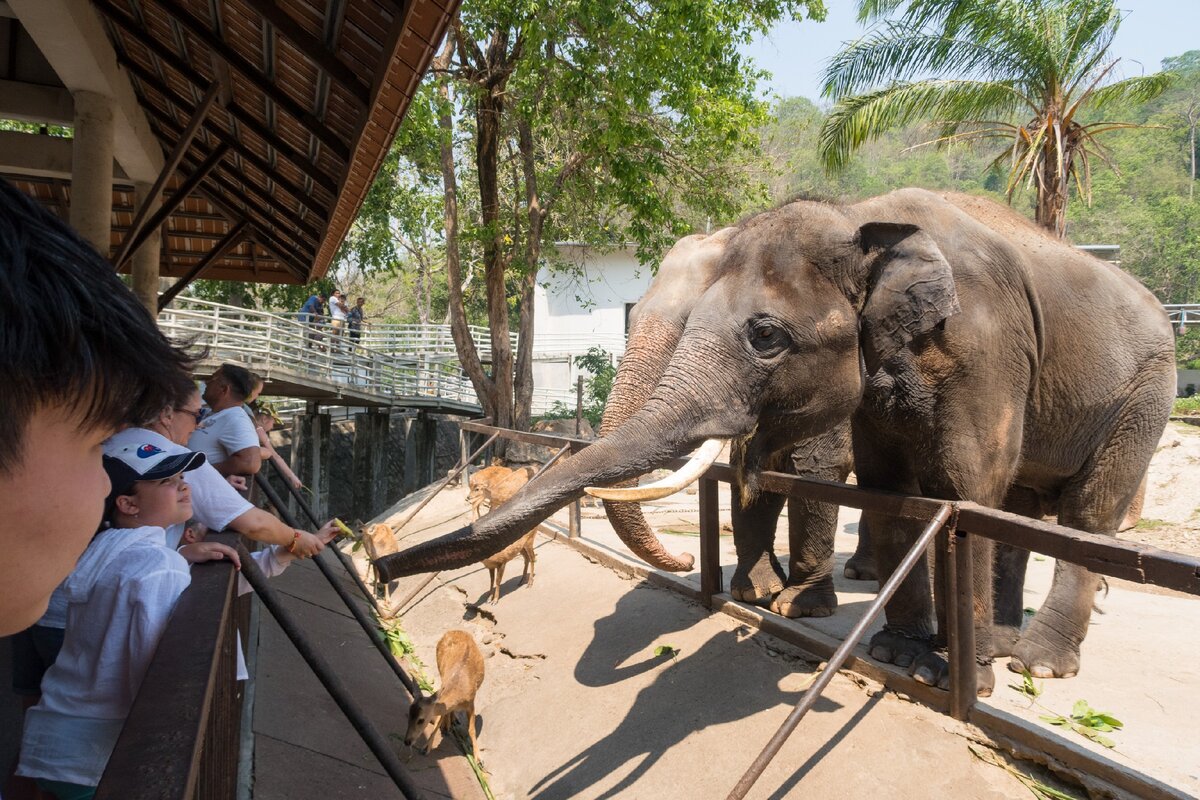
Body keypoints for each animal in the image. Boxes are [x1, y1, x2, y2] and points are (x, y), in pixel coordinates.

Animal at [379, 185, 1176, 695]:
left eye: (764, 335)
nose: (381, 570)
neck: (857, 218)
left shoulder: (984, 350)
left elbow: (958, 491)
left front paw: (928, 664)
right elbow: (886, 490)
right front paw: (870, 641)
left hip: (1147, 389)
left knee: (1081, 512)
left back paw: (1031, 664)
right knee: (1024, 508)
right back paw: (993, 637)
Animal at [405, 628, 484, 762]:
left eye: (421, 720)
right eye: (409, 713)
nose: (407, 741)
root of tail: (457, 630)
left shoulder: (471, 703)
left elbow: (471, 730)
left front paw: (479, 759)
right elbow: (437, 721)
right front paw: (426, 748)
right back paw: (448, 724)